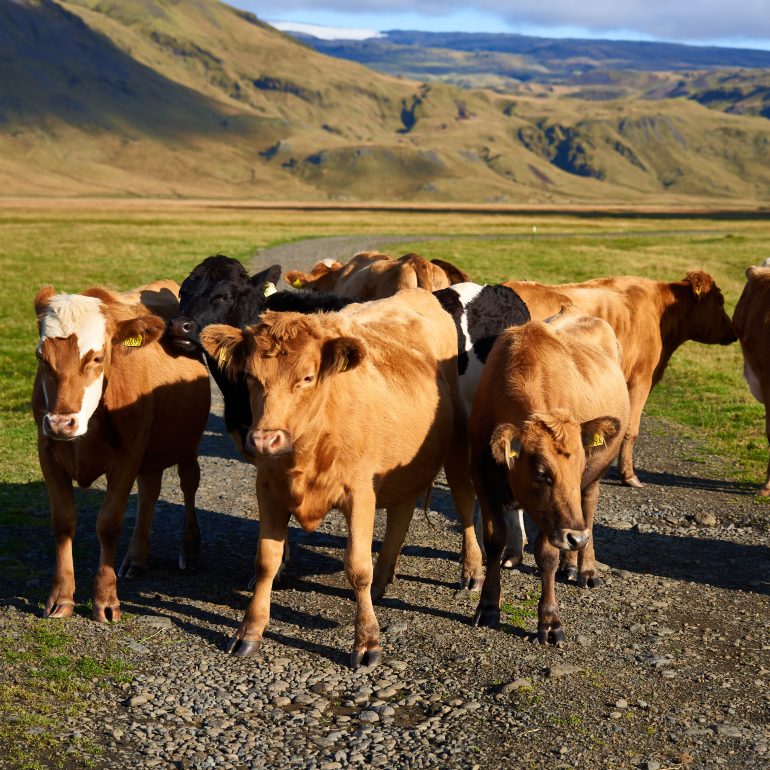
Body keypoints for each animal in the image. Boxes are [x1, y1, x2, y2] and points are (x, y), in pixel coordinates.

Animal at [33, 282, 210, 622]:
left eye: (97, 358)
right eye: (40, 357)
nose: (61, 422)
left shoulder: (128, 454)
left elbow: (109, 522)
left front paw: (105, 599)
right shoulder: (47, 449)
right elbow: (63, 521)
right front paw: (61, 596)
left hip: (186, 444)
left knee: (189, 484)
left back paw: (191, 549)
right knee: (150, 491)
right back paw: (137, 558)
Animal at [199, 289, 484, 666]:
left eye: (306, 377)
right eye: (249, 377)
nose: (264, 440)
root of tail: (416, 293)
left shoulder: (360, 492)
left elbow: (357, 567)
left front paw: (367, 641)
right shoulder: (268, 490)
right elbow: (266, 562)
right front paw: (250, 631)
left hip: (457, 443)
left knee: (464, 503)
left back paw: (472, 572)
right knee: (401, 514)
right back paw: (384, 578)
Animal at [470, 314, 630, 644]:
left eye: (579, 467)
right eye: (542, 473)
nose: (576, 538)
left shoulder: (555, 513)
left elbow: (546, 555)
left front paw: (549, 620)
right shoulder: (484, 481)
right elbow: (493, 541)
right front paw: (488, 606)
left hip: (592, 485)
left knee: (588, 510)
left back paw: (585, 568)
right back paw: (572, 562)